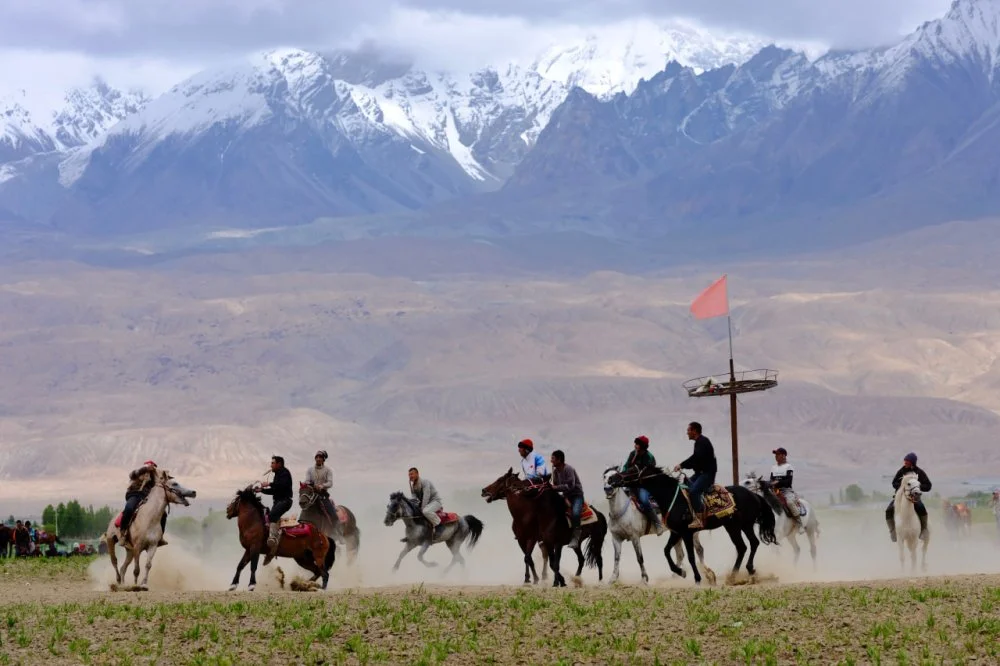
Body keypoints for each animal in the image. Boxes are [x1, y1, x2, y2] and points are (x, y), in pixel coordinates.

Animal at [604, 464, 776, 584]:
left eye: (631, 470)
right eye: (606, 476)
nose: (611, 483)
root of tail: (754, 495)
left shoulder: (685, 533)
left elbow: (690, 556)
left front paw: (697, 578)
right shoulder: (676, 532)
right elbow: (666, 551)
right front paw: (681, 572)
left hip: (734, 527)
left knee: (741, 547)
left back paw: (729, 575)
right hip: (742, 526)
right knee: (750, 544)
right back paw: (747, 570)